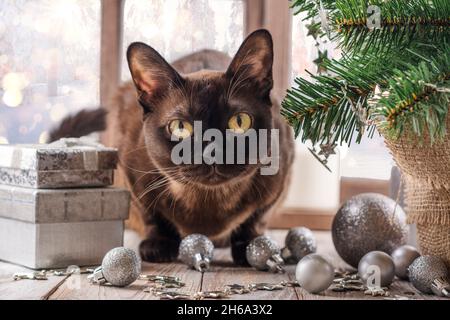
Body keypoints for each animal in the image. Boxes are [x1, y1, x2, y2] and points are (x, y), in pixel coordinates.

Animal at [51, 29, 296, 264]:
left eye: (240, 122)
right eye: (180, 127)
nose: (212, 151)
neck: (206, 202)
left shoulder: (277, 181)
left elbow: (254, 219)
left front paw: (251, 247)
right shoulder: (133, 177)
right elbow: (153, 216)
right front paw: (158, 247)